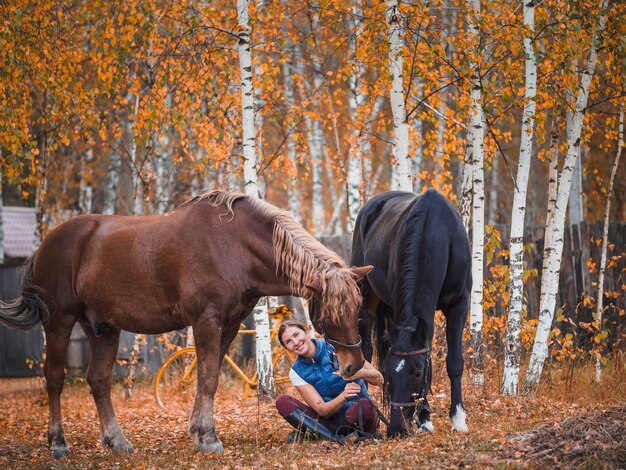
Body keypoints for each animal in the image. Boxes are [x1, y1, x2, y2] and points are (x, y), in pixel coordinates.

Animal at [0, 190, 368, 456]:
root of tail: (46, 244)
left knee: (99, 381)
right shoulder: (206, 321)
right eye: (330, 314)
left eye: (358, 308)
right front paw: (209, 439)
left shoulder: (228, 325)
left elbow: (210, 377)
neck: (235, 245)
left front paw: (199, 434)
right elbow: (207, 379)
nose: (353, 366)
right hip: (59, 323)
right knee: (55, 379)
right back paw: (58, 443)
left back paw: (117, 441)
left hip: (103, 327)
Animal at [348, 188, 470, 436]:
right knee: (366, 348)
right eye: (390, 373)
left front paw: (458, 419)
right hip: (367, 294)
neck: (436, 231)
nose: (397, 428)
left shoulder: (459, 304)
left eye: (417, 372)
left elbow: (454, 362)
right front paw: (425, 420)